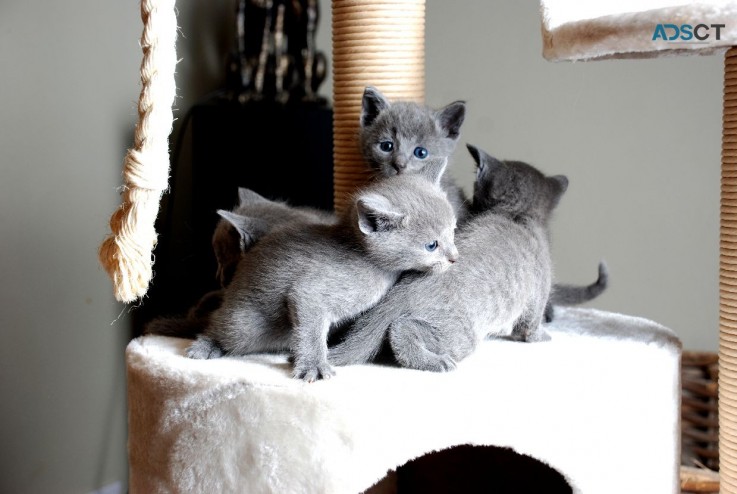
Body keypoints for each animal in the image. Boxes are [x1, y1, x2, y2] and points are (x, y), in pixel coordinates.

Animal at [187, 165, 458, 382]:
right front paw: (314, 365)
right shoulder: (309, 293)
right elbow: (311, 330)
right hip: (243, 325)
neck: (362, 256)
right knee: (219, 326)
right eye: (431, 245)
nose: (455, 257)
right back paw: (204, 347)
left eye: (453, 231)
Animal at [330, 145, 568, 372]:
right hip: (462, 335)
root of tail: (394, 301)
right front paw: (542, 336)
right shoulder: (539, 288)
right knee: (403, 329)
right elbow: (530, 324)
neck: (514, 214)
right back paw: (436, 362)